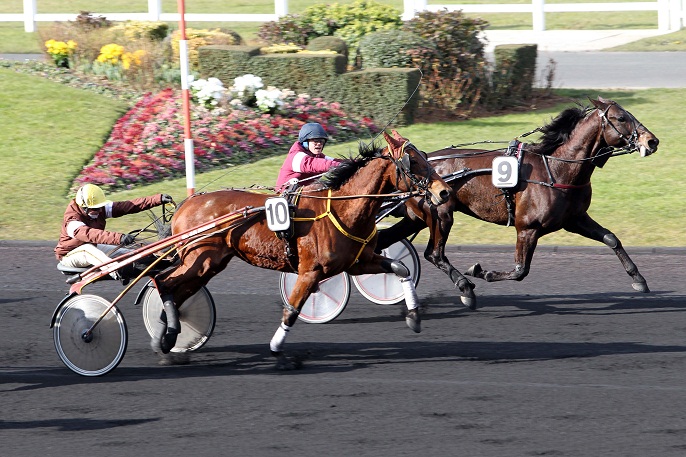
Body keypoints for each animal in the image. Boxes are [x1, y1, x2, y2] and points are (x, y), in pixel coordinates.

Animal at [151, 130, 454, 366]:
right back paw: (167, 334)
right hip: (199, 259)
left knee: (177, 290)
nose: (444, 192)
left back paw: (166, 332)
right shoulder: (311, 271)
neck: (342, 208)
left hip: (209, 264)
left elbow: (401, 269)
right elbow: (292, 310)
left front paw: (414, 317)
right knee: (163, 282)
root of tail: (187, 203)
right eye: (413, 161)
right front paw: (277, 349)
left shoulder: (359, 262)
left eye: (424, 155)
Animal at [378, 95, 664, 306]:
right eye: (621, 118)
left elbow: (611, 239)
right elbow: (520, 270)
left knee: (384, 239)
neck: (557, 168)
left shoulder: (575, 219)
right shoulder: (527, 228)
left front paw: (638, 279)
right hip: (440, 214)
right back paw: (465, 288)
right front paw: (481, 272)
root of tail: (418, 164)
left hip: (416, 218)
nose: (652, 141)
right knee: (434, 254)